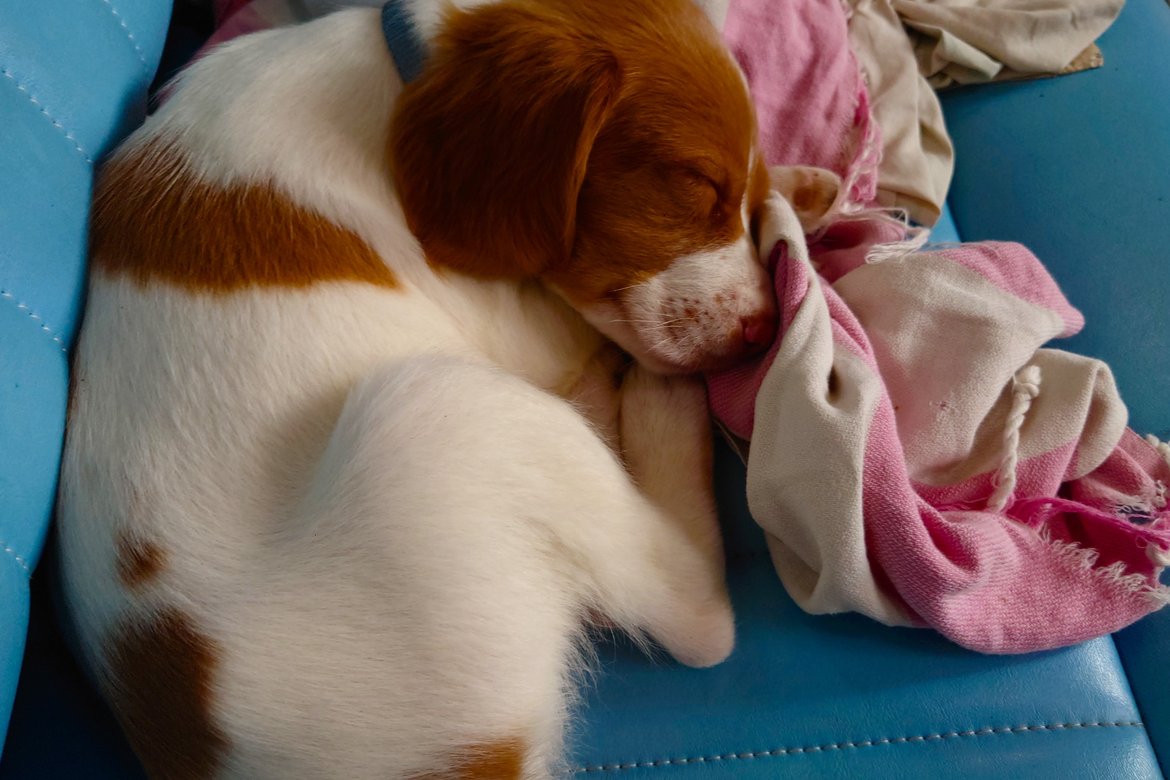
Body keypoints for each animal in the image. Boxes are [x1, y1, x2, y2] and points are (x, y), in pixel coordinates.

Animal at [59, 0, 837, 776]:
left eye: (737, 195)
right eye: (695, 184)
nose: (765, 331)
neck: (392, 82)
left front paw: (799, 185)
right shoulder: (520, 326)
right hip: (442, 410)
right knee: (696, 617)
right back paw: (657, 408)